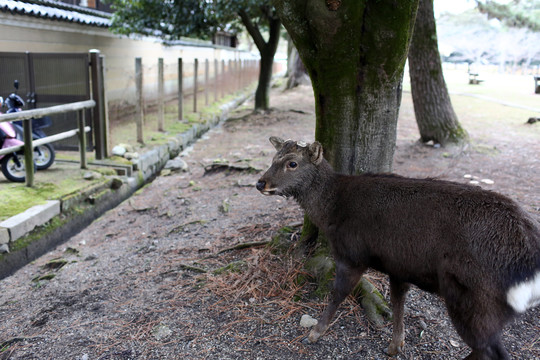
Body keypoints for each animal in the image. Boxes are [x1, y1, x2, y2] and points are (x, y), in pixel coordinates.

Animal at [255, 136, 536, 358]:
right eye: (273, 157)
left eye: (292, 163)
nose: (260, 183)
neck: (331, 212)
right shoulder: (399, 266)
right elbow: (398, 303)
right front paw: (395, 345)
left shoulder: (352, 254)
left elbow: (338, 293)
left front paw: (315, 333)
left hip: (473, 297)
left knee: (490, 350)